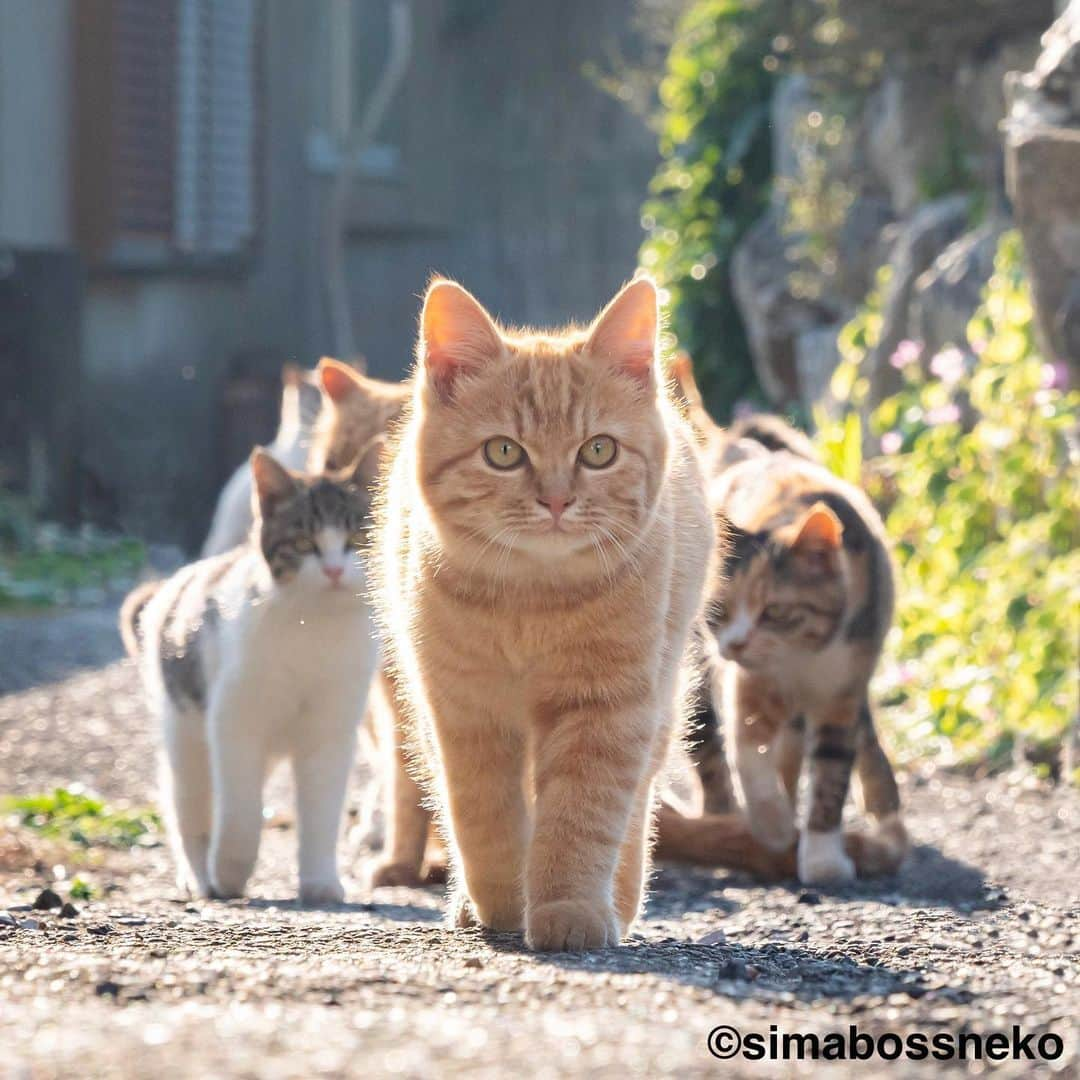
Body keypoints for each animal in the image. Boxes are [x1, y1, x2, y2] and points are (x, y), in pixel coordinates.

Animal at [120, 447, 382, 902]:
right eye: (304, 542)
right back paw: (198, 876)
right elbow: (240, 812)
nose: (333, 571)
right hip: (185, 731)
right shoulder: (234, 722)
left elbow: (322, 811)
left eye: (357, 540)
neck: (316, 626)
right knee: (189, 804)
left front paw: (320, 882)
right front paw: (228, 873)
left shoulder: (331, 733)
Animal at [371, 274, 717, 950]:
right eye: (504, 452)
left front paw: (569, 908)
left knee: (635, 804)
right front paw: (500, 904)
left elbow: (582, 816)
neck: (531, 601)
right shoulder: (463, 708)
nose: (557, 500)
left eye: (599, 451)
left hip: (658, 697)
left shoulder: (606, 706)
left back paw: (618, 902)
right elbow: (483, 817)